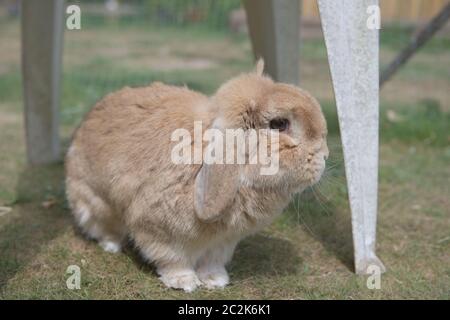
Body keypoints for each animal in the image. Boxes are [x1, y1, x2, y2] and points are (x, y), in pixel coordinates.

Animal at [65, 60, 328, 292]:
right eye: (279, 124)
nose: (324, 156)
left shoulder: (223, 242)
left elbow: (212, 261)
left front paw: (215, 280)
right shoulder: (159, 231)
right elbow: (173, 259)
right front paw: (185, 282)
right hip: (95, 202)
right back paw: (111, 245)